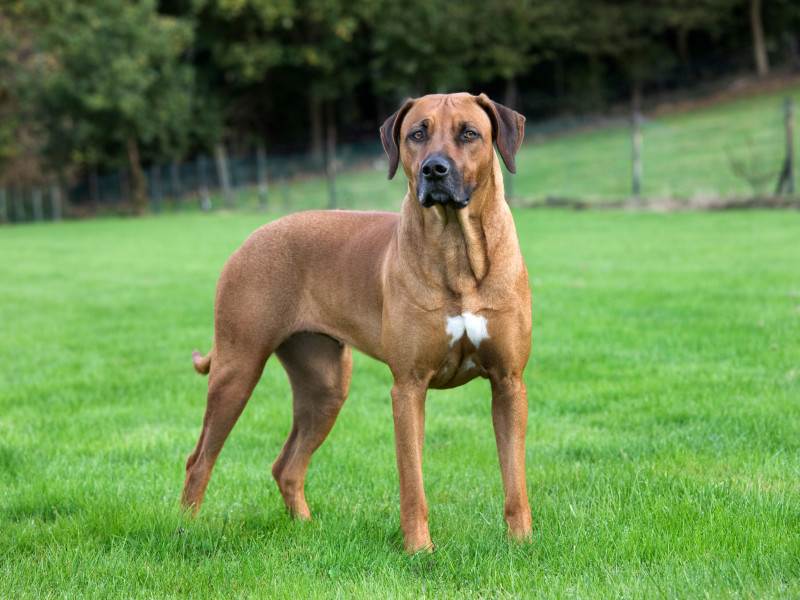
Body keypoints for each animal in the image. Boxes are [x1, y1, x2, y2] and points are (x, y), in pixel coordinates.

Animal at [181, 91, 532, 552]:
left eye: (469, 134)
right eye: (416, 134)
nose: (433, 169)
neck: (457, 250)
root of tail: (250, 238)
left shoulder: (509, 383)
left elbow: (515, 480)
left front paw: (522, 544)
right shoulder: (408, 387)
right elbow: (412, 482)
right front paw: (419, 549)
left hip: (325, 386)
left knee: (286, 465)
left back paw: (305, 528)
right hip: (237, 367)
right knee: (200, 458)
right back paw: (184, 531)